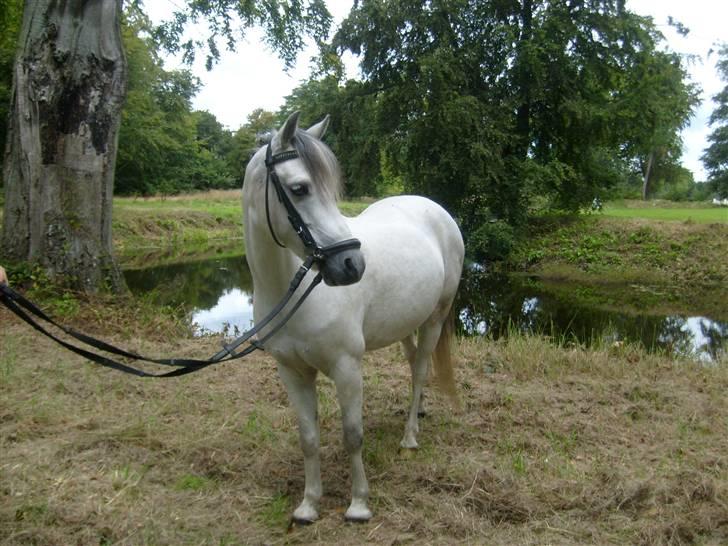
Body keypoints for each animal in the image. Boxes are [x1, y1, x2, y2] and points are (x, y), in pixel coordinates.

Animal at [242, 112, 464, 523]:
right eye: (300, 189)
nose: (351, 265)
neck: (294, 291)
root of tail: (434, 208)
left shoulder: (346, 367)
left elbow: (352, 435)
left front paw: (359, 504)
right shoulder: (291, 372)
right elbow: (308, 437)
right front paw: (309, 504)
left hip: (435, 319)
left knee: (420, 369)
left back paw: (410, 436)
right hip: (406, 321)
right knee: (414, 364)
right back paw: (420, 409)